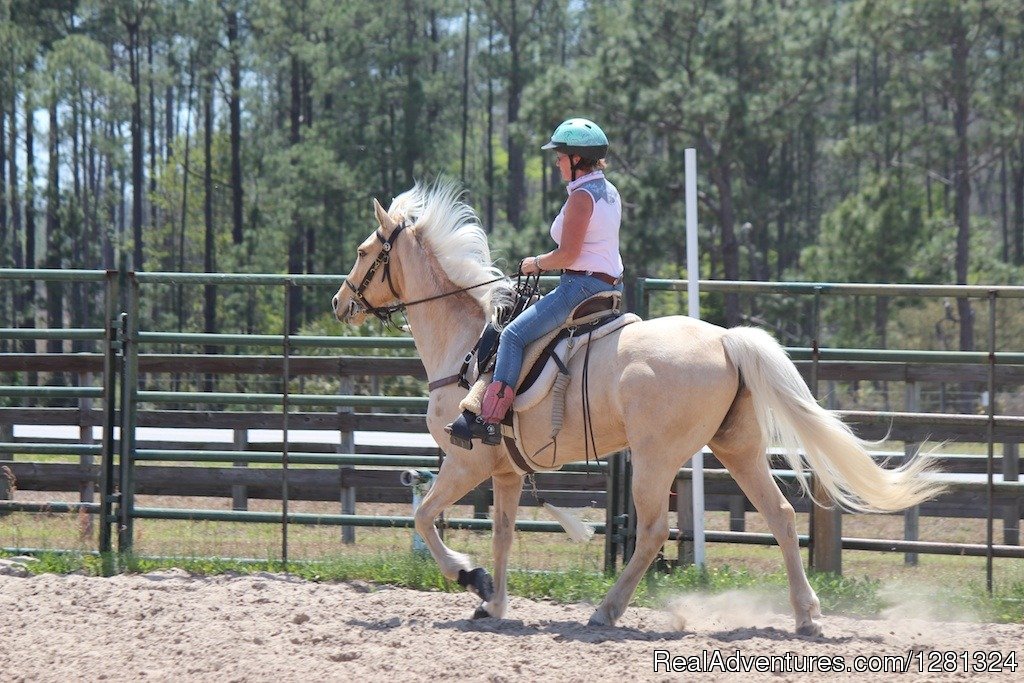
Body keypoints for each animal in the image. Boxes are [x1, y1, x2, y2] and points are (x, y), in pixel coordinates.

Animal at [333, 180, 942, 634]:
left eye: (364, 252)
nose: (339, 302)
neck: (467, 346)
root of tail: (727, 341)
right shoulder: (505, 472)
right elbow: (503, 535)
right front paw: (493, 601)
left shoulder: (466, 462)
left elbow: (424, 516)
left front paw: (468, 576)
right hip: (738, 448)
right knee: (781, 516)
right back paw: (807, 615)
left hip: (655, 460)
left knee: (651, 533)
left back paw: (606, 610)